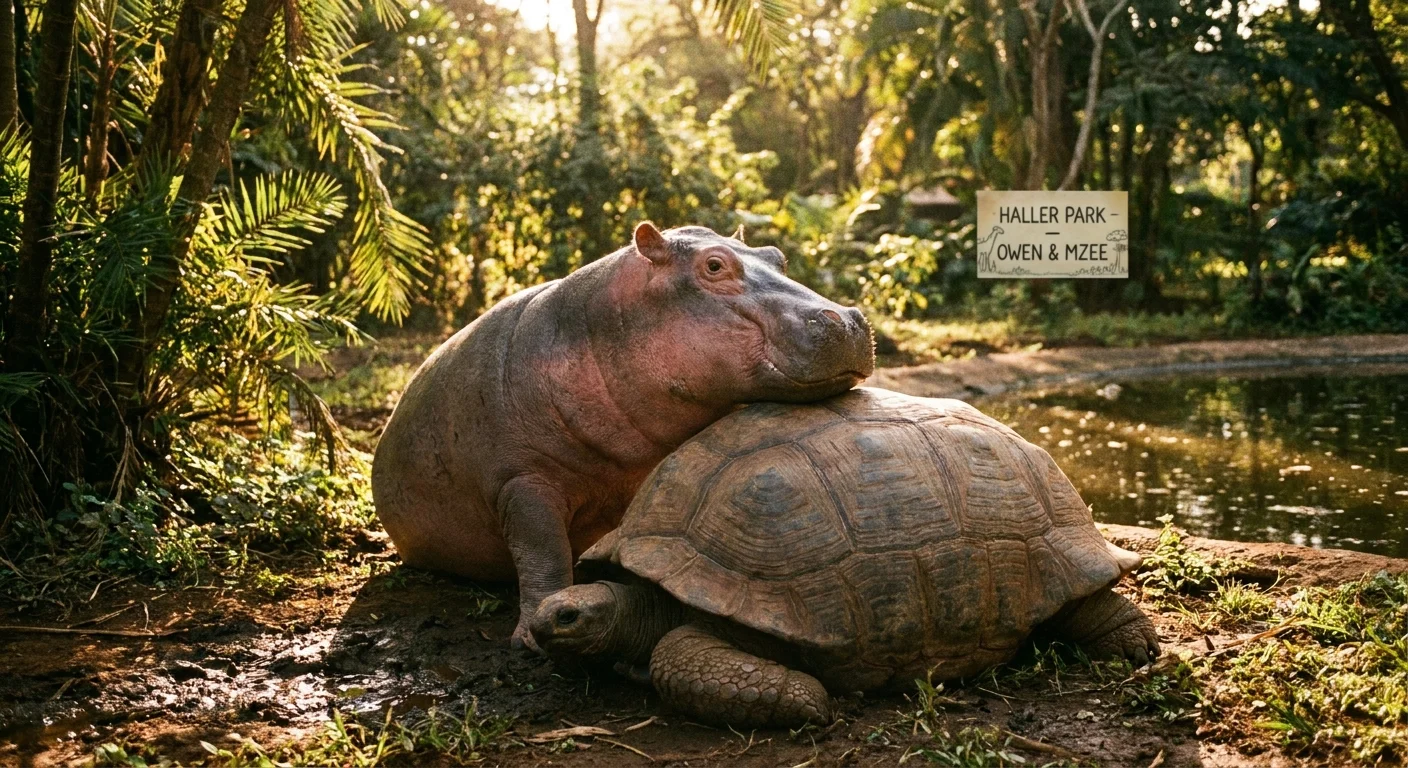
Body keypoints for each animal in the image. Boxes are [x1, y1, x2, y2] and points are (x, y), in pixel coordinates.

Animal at [372, 222, 875, 649]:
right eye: (713, 265)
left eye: (777, 256)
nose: (848, 318)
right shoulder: (521, 481)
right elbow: (543, 553)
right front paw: (531, 639)